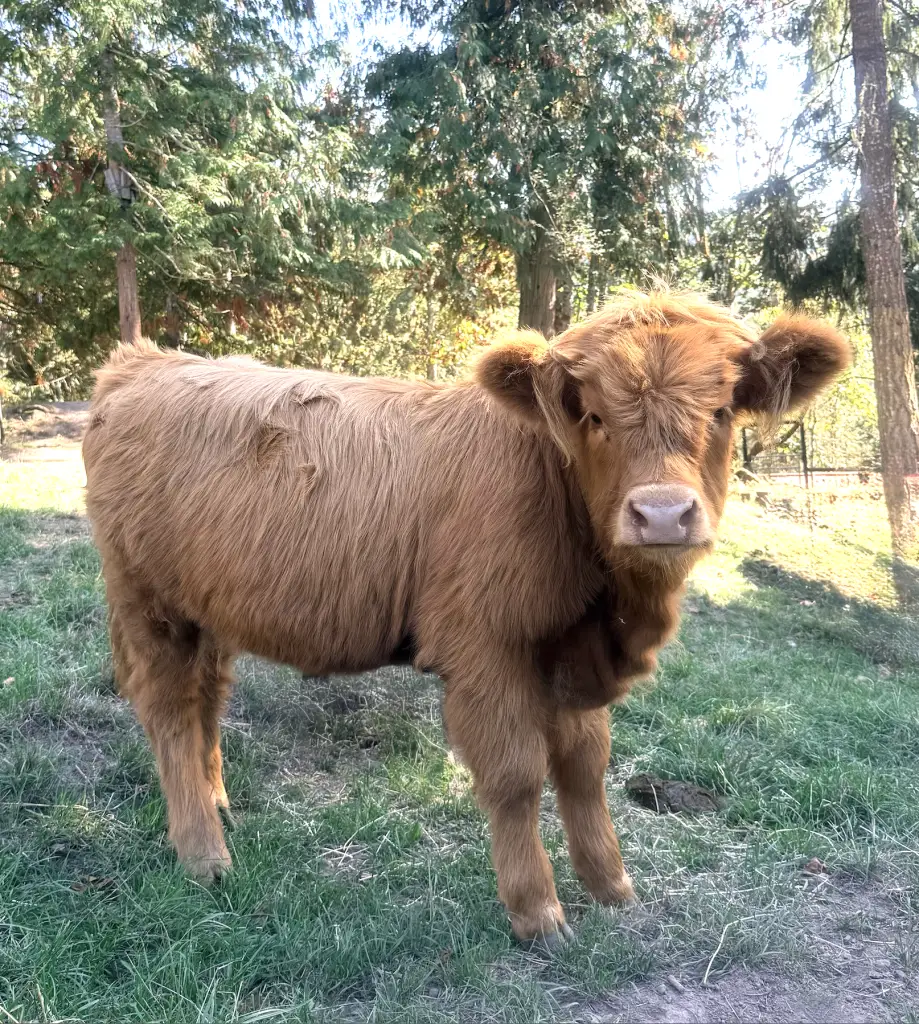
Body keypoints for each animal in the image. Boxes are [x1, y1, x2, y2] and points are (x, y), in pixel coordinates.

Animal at [82, 291, 851, 946]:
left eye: (720, 412)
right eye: (595, 416)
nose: (661, 514)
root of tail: (141, 361)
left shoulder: (568, 654)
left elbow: (584, 765)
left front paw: (611, 886)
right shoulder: (488, 648)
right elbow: (515, 775)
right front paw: (538, 912)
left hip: (206, 608)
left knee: (207, 698)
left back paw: (218, 803)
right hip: (146, 601)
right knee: (169, 708)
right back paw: (203, 853)